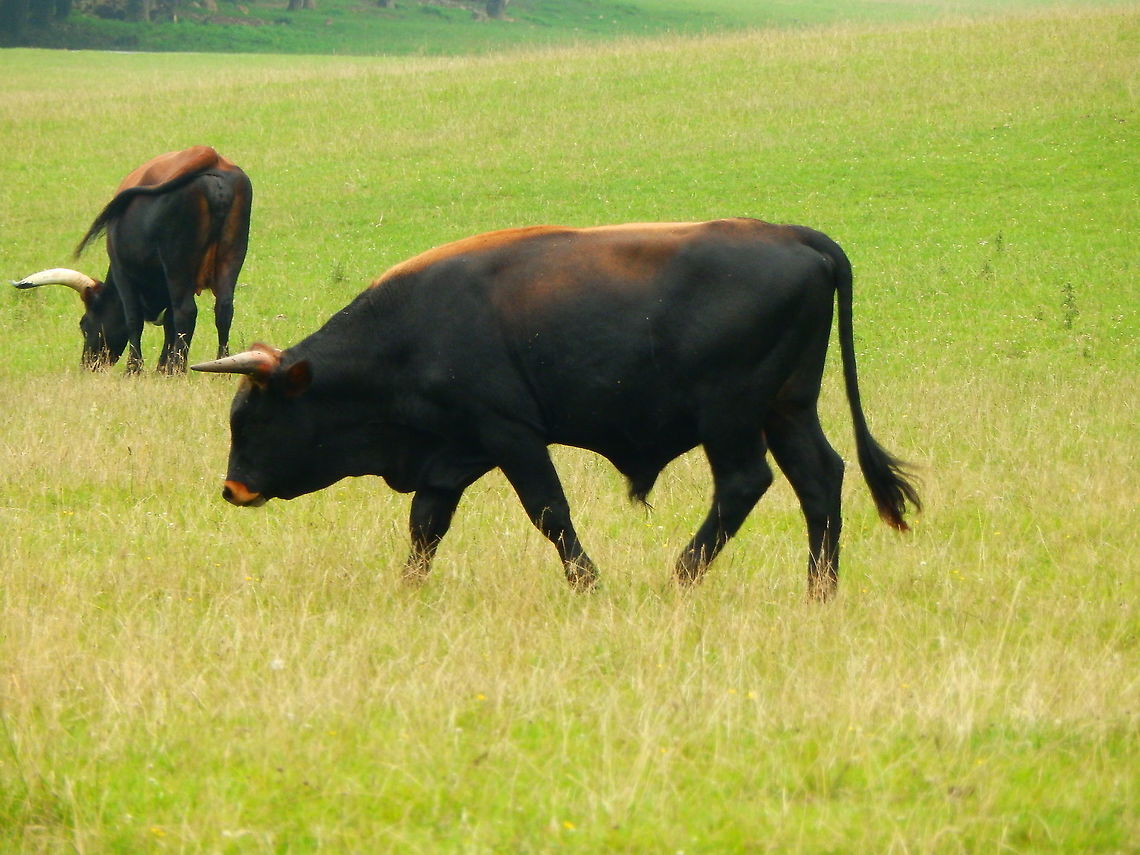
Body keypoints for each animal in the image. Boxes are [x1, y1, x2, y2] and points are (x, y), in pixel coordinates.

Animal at [12, 146, 253, 373]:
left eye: (84, 325)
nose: (88, 365)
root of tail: (211, 157)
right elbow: (169, 322)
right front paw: (161, 367)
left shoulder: (123, 274)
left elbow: (134, 320)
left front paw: (135, 369)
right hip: (232, 255)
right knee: (223, 308)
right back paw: (222, 366)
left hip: (178, 265)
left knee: (186, 311)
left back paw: (178, 369)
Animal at [192, 219, 920, 599]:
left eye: (254, 419)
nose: (232, 488)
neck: (412, 329)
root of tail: (795, 236)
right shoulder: (455, 453)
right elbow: (426, 522)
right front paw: (409, 586)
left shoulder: (510, 435)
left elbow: (549, 511)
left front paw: (588, 583)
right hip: (789, 409)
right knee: (820, 480)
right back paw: (819, 590)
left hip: (732, 418)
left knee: (746, 483)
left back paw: (680, 575)